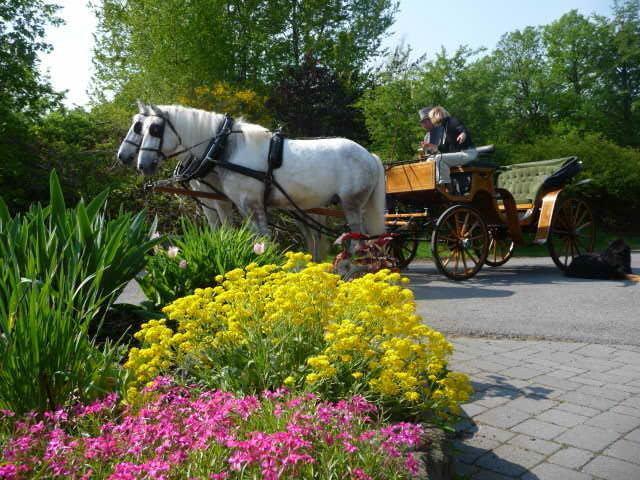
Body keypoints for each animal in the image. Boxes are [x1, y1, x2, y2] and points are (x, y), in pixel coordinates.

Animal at [132, 103, 384, 248]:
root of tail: (369, 156)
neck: (225, 148)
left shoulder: (251, 202)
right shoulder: (241, 204)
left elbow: (263, 239)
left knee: (358, 240)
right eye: (141, 129)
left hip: (351, 204)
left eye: (155, 130)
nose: (142, 165)